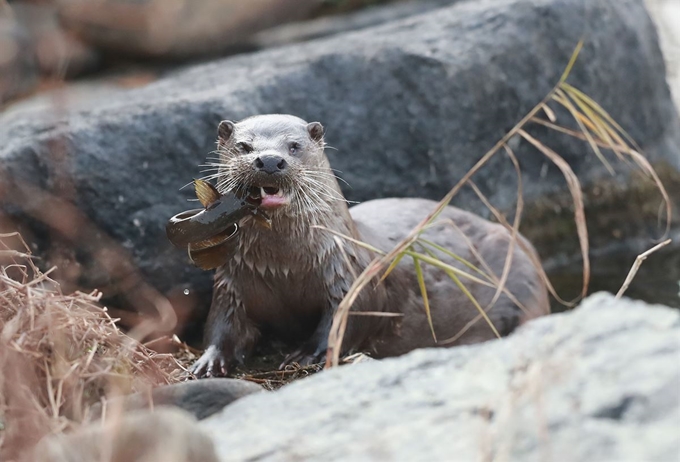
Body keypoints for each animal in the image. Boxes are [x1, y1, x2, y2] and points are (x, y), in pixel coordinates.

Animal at [189, 113, 548, 378]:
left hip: (525, 284)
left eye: (294, 146)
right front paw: (209, 360)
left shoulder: (349, 278)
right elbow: (223, 325)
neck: (284, 268)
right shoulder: (231, 283)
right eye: (244, 145)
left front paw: (306, 353)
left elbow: (344, 320)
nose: (269, 160)